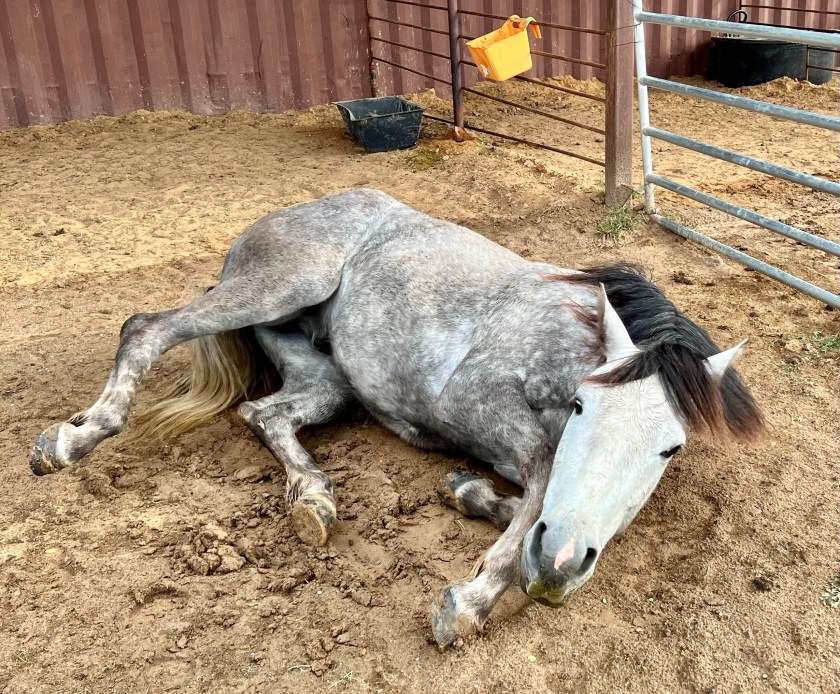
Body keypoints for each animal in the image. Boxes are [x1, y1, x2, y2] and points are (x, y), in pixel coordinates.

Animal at [29, 188, 765, 648]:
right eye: (584, 404)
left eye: (670, 448)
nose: (558, 564)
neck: (564, 340)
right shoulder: (470, 401)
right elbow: (541, 474)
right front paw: (471, 598)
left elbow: (541, 498)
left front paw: (475, 501)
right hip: (277, 288)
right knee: (146, 329)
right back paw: (71, 440)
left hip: (328, 381)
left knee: (263, 414)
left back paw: (314, 501)